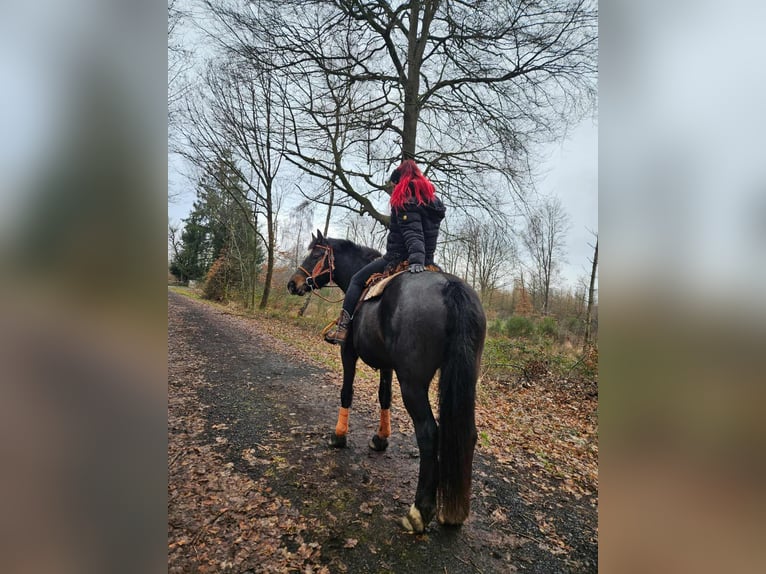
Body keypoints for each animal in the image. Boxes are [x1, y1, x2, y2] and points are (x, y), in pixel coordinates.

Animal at [287, 230, 486, 533]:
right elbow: (384, 397)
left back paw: (420, 511)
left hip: (413, 384)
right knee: (467, 434)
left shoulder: (348, 353)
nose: (293, 283)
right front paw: (380, 438)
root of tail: (451, 288)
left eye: (316, 254)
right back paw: (452, 513)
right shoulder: (387, 365)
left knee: (429, 433)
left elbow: (346, 392)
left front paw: (339, 436)